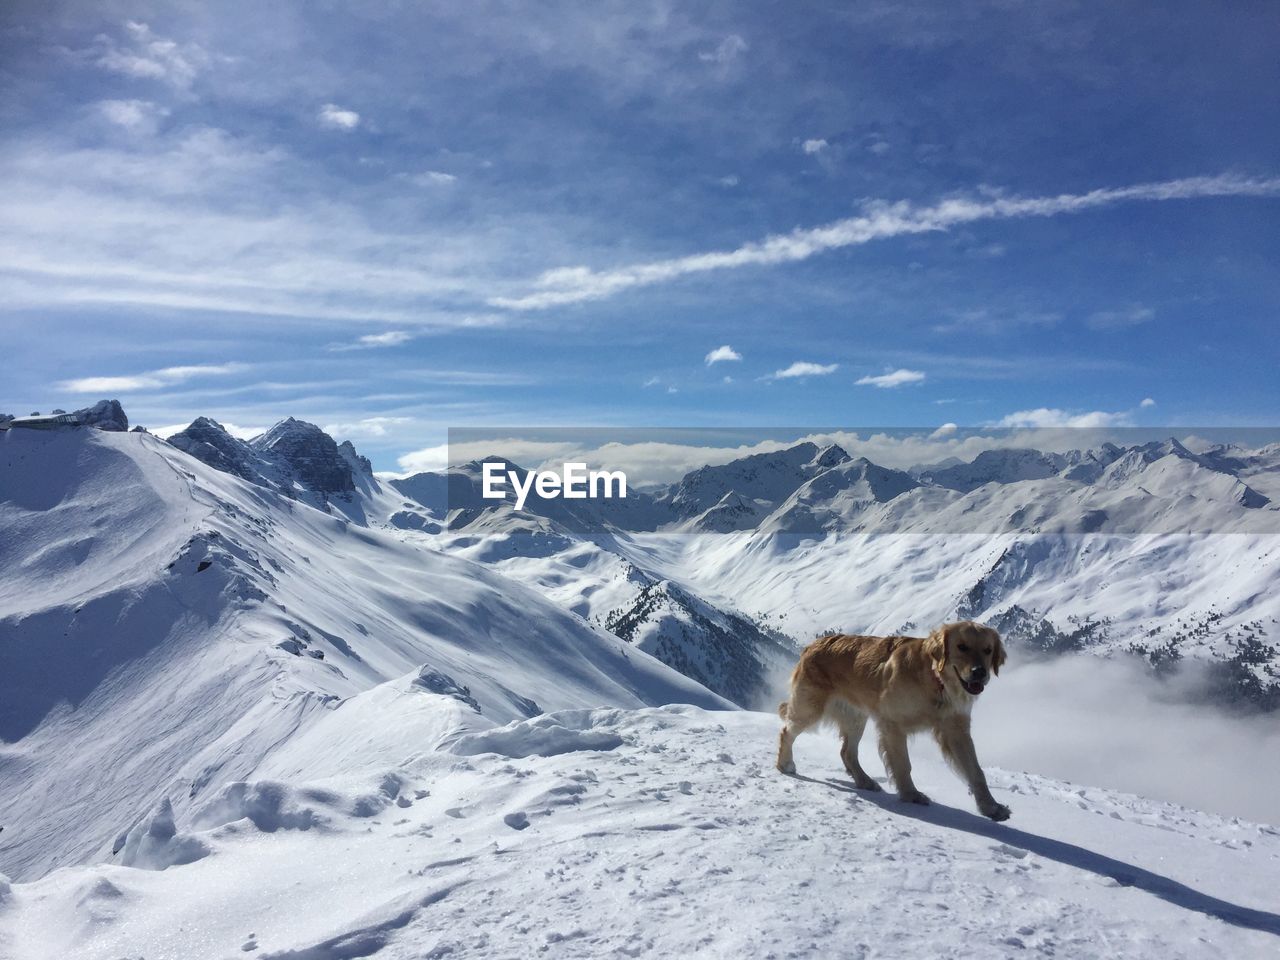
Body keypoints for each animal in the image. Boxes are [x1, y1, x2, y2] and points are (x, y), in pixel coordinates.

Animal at [773, 624, 1013, 819]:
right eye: (962, 647)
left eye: (988, 650)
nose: (979, 673)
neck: (934, 679)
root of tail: (812, 645)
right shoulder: (893, 725)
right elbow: (903, 764)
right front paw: (911, 794)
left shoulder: (956, 731)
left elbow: (976, 771)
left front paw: (991, 807)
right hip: (810, 708)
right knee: (786, 731)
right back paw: (785, 764)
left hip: (856, 717)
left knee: (847, 752)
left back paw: (865, 781)